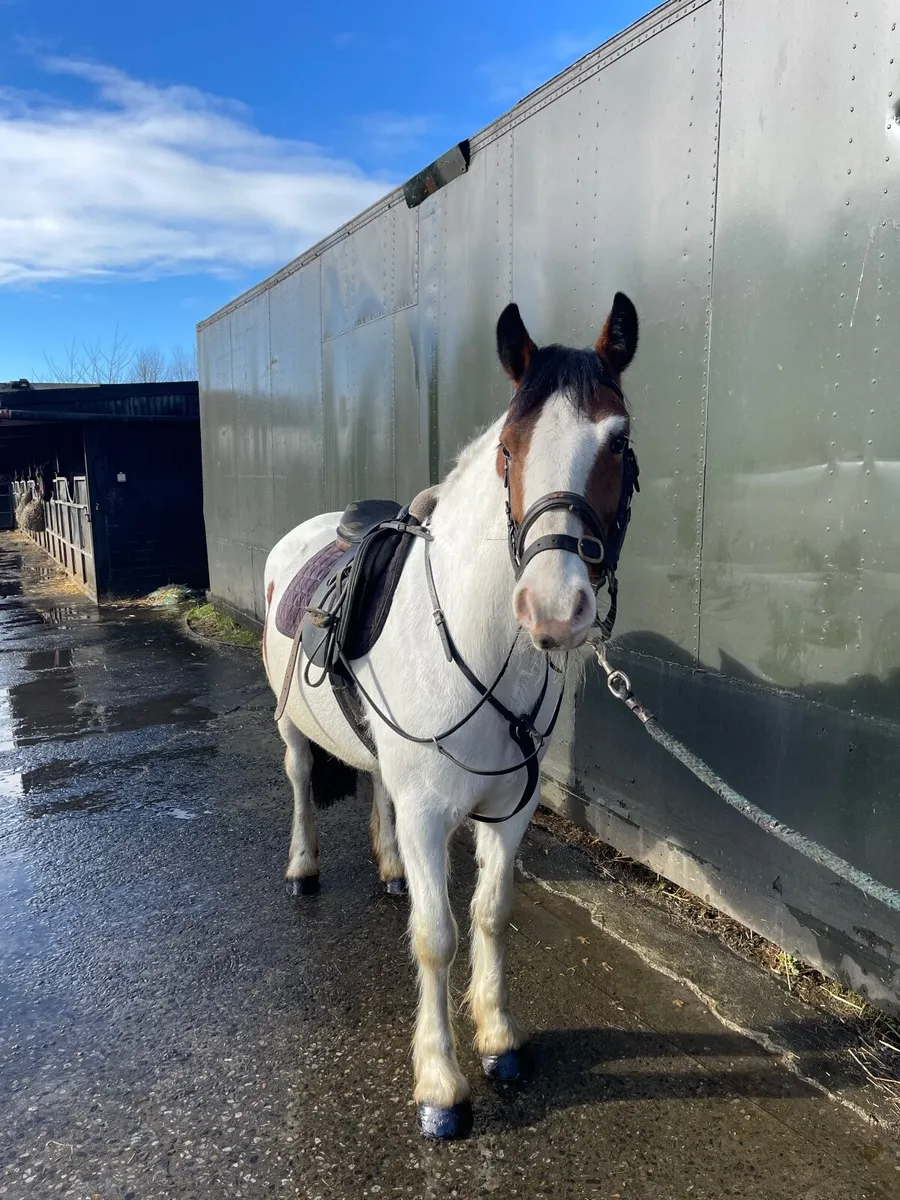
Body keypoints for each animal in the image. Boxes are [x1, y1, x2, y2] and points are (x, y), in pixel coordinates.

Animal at [262, 292, 640, 1140]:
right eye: (508, 446)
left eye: (618, 439)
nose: (553, 609)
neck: (479, 642)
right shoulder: (432, 812)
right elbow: (436, 938)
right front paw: (439, 1084)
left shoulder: (509, 809)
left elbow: (492, 913)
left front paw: (498, 1039)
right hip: (294, 730)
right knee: (301, 783)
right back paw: (303, 867)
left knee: (377, 791)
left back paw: (390, 868)